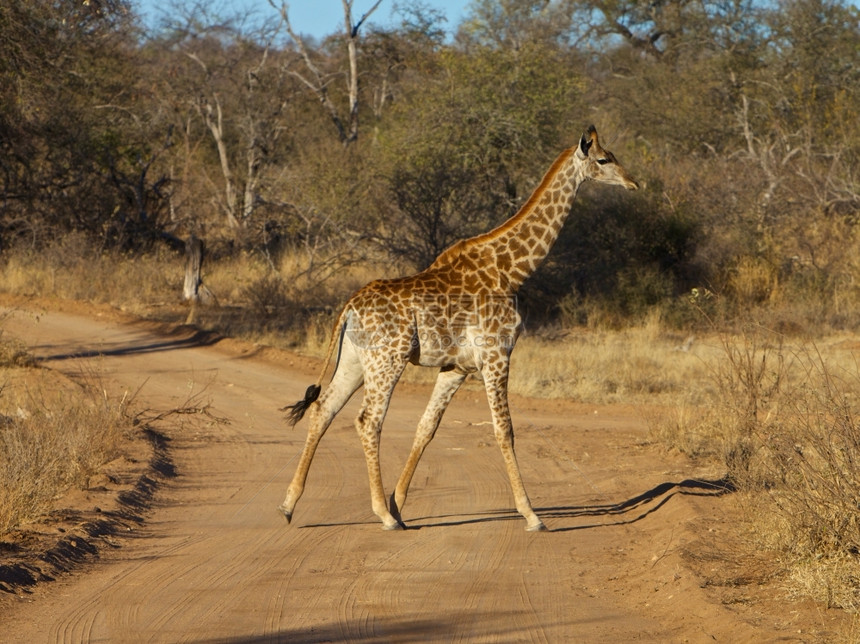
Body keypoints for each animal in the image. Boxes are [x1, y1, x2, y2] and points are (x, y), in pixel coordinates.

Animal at [280, 123, 640, 532]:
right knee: (367, 420)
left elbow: (427, 427)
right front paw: (531, 515)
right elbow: (504, 430)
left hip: (357, 360)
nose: (633, 183)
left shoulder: (457, 367)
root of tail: (349, 308)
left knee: (324, 408)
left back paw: (290, 505)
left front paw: (400, 505)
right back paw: (381, 515)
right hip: (388, 360)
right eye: (604, 160)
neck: (511, 270)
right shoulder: (496, 355)